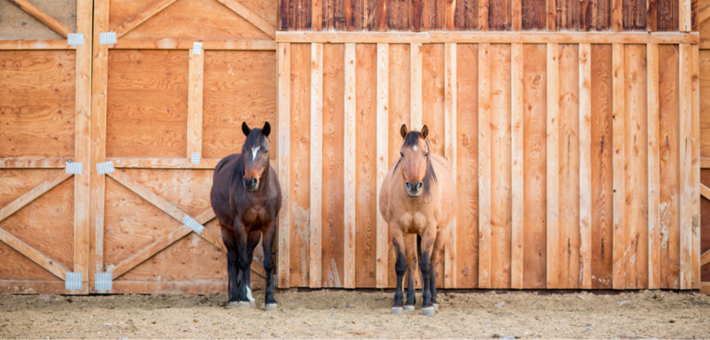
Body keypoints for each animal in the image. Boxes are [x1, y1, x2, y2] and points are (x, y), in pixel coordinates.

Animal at [210, 122, 282, 310]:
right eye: (244, 150)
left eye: (265, 150)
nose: (250, 181)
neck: (258, 195)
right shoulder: (239, 225)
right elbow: (240, 261)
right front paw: (241, 298)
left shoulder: (269, 226)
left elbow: (267, 263)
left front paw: (270, 300)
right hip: (226, 229)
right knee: (233, 259)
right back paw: (235, 297)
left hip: (254, 232)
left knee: (248, 257)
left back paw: (249, 295)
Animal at [382, 124, 458, 316]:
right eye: (402, 154)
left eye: (425, 154)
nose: (414, 186)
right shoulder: (397, 229)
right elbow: (402, 265)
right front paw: (399, 303)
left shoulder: (430, 229)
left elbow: (426, 265)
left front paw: (428, 304)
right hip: (411, 233)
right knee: (412, 262)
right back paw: (410, 300)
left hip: (441, 231)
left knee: (433, 261)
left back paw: (433, 298)